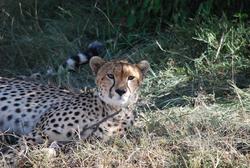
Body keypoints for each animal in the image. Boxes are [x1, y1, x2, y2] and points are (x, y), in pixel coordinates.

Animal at [0, 56, 149, 165]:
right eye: (110, 76)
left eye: (131, 78)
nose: (121, 91)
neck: (110, 110)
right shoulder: (40, 132)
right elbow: (16, 150)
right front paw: (7, 161)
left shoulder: (80, 143)